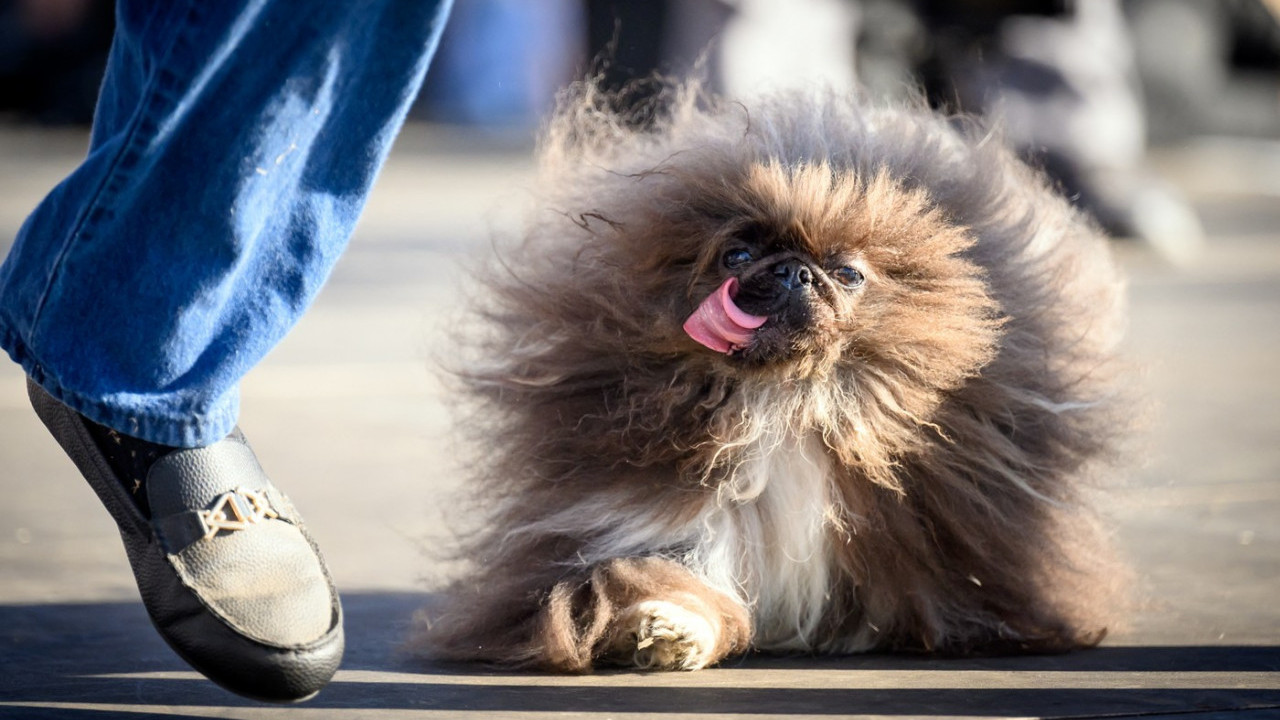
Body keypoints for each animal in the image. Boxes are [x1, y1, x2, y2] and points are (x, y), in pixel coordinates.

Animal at [414, 81, 1126, 671]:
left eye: (848, 273)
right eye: (737, 255)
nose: (793, 271)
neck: (788, 402)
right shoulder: (666, 517)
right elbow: (680, 582)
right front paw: (666, 632)